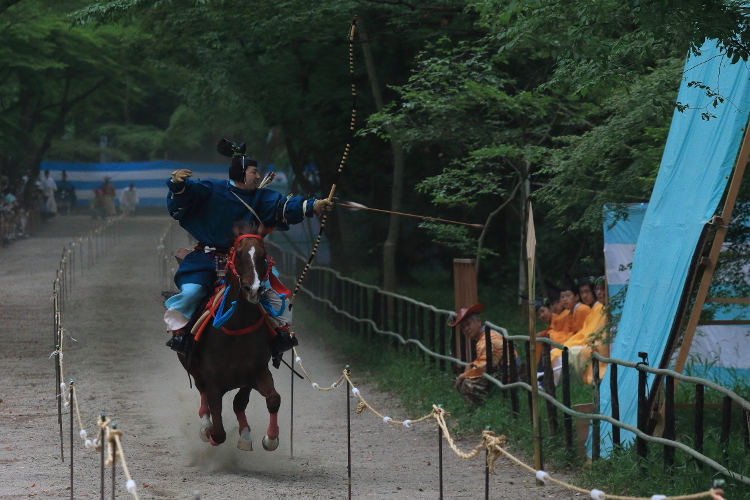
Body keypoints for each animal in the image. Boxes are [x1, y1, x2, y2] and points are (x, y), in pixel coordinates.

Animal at [180, 222, 282, 450]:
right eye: (239, 255)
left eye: (263, 255)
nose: (254, 289)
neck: (237, 328)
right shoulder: (213, 381)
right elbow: (218, 431)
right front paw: (208, 430)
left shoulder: (255, 373)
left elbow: (270, 399)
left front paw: (268, 438)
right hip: (191, 365)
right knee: (201, 390)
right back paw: (205, 424)